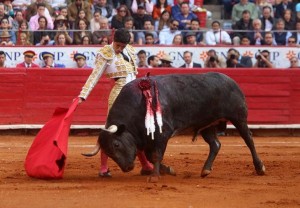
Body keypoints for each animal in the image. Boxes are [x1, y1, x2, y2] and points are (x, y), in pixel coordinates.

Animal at [98, 72, 264, 177]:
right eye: (107, 152)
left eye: (116, 145)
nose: (127, 168)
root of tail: (230, 80)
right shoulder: (147, 137)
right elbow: (150, 156)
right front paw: (168, 170)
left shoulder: (162, 134)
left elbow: (156, 155)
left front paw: (155, 176)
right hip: (207, 125)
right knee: (215, 144)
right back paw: (206, 170)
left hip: (239, 118)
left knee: (248, 140)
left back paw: (259, 167)